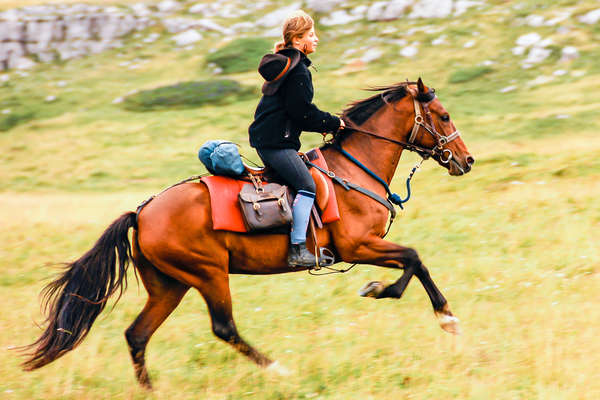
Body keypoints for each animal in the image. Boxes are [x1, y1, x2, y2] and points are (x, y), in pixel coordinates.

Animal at [22, 77, 474, 388]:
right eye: (444, 116)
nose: (466, 160)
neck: (353, 169)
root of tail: (143, 211)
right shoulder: (359, 245)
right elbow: (414, 259)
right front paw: (412, 303)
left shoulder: (366, 247)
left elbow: (415, 262)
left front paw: (433, 312)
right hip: (208, 275)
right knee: (224, 329)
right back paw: (279, 369)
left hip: (169, 286)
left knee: (137, 335)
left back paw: (151, 390)